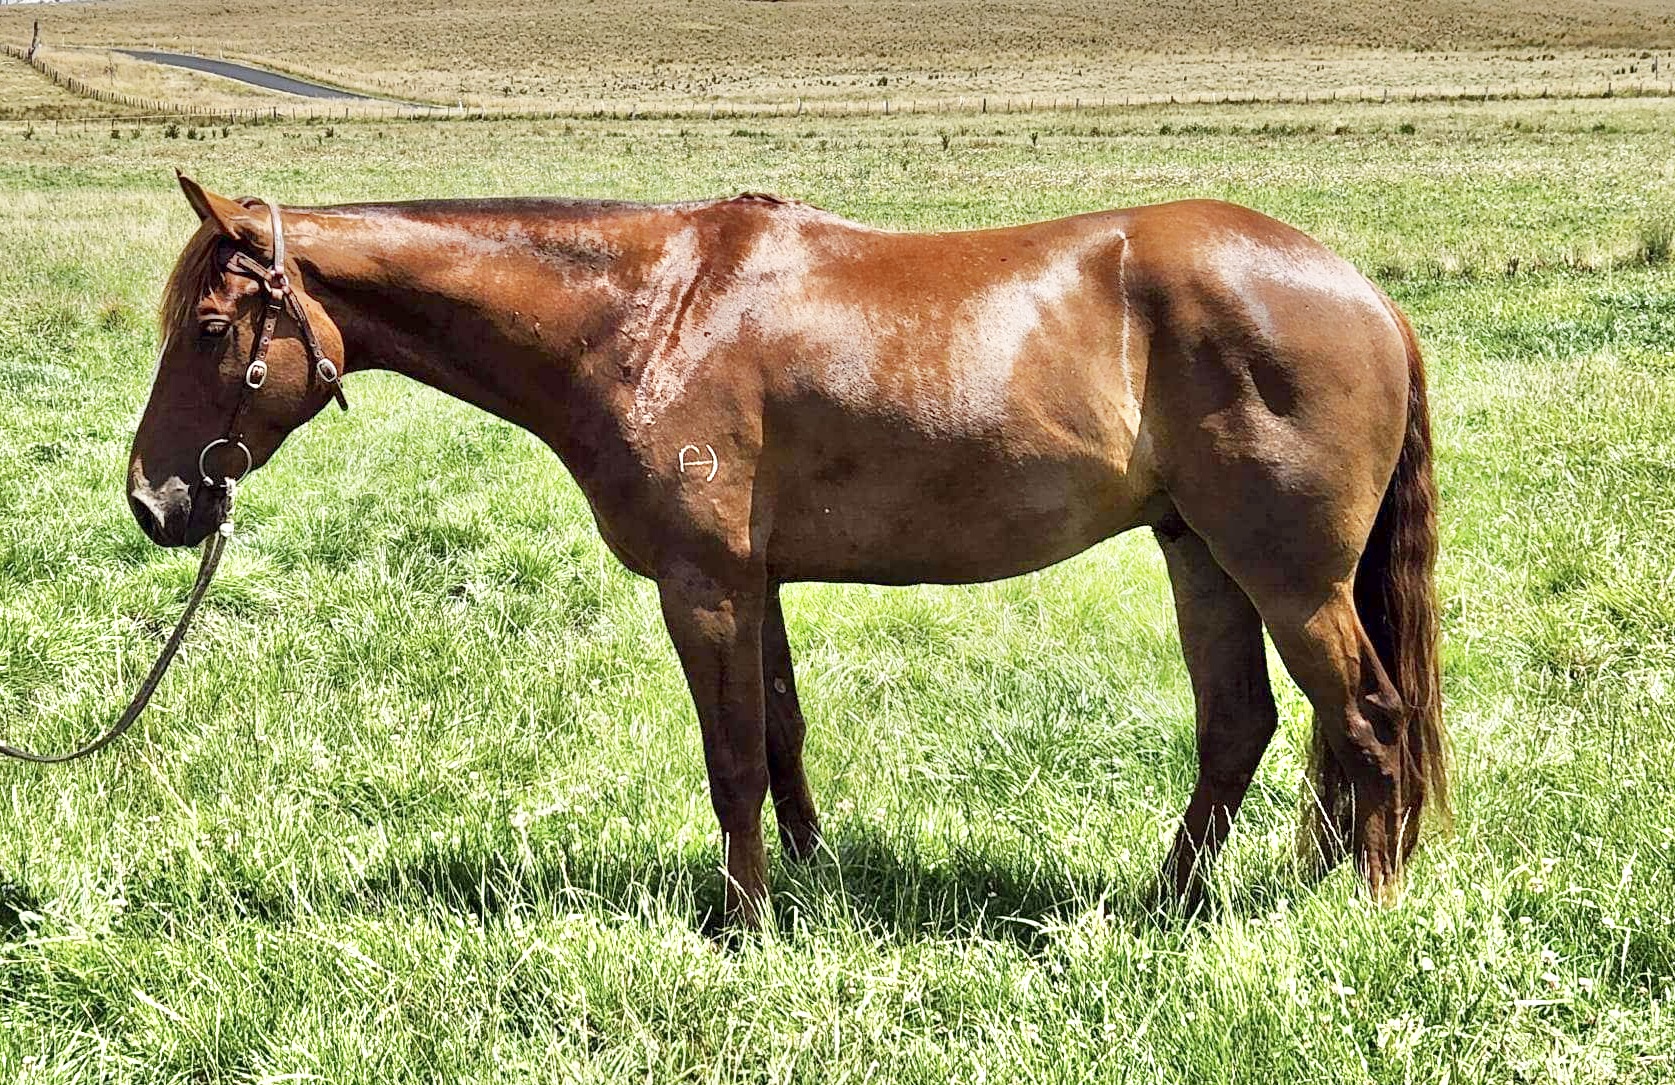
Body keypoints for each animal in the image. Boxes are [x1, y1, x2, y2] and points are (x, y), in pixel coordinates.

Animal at [130, 174, 1446, 925]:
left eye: (210, 326)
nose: (153, 500)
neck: (647, 312)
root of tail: (1366, 295)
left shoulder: (703, 585)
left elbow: (732, 760)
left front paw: (745, 922)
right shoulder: (753, 585)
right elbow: (781, 734)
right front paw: (809, 885)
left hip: (1287, 575)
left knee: (1368, 717)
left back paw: (1371, 907)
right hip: (1201, 556)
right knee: (1242, 728)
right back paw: (1160, 908)